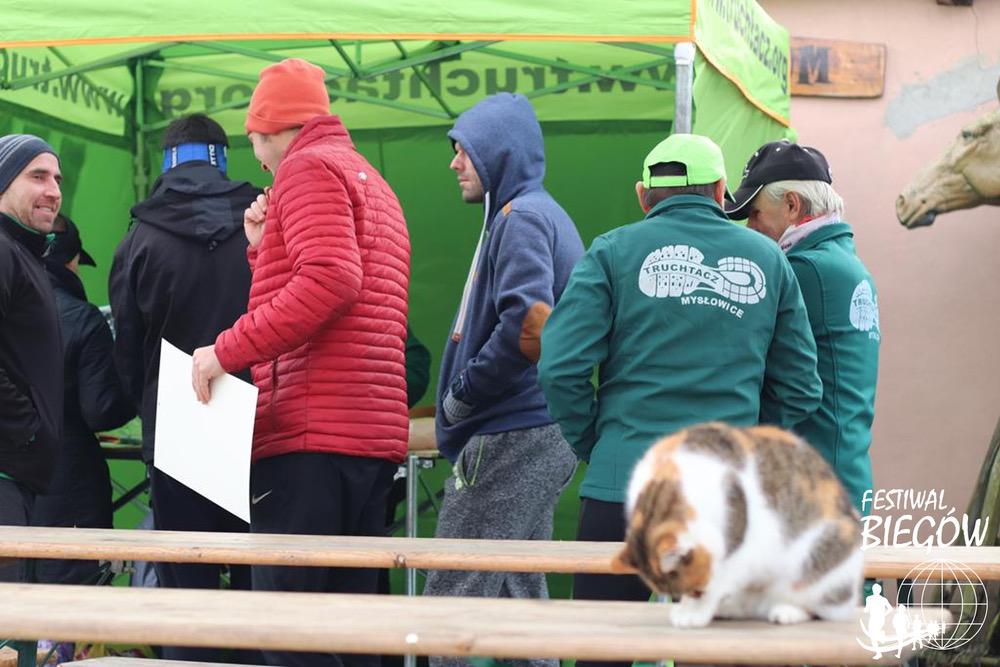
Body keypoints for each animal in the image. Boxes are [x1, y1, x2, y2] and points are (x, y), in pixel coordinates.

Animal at [611, 422, 863, 628]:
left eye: (698, 590)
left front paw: (695, 613)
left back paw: (787, 611)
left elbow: (721, 580)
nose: (693, 595)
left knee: (823, 608)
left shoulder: (742, 553)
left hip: (819, 560)